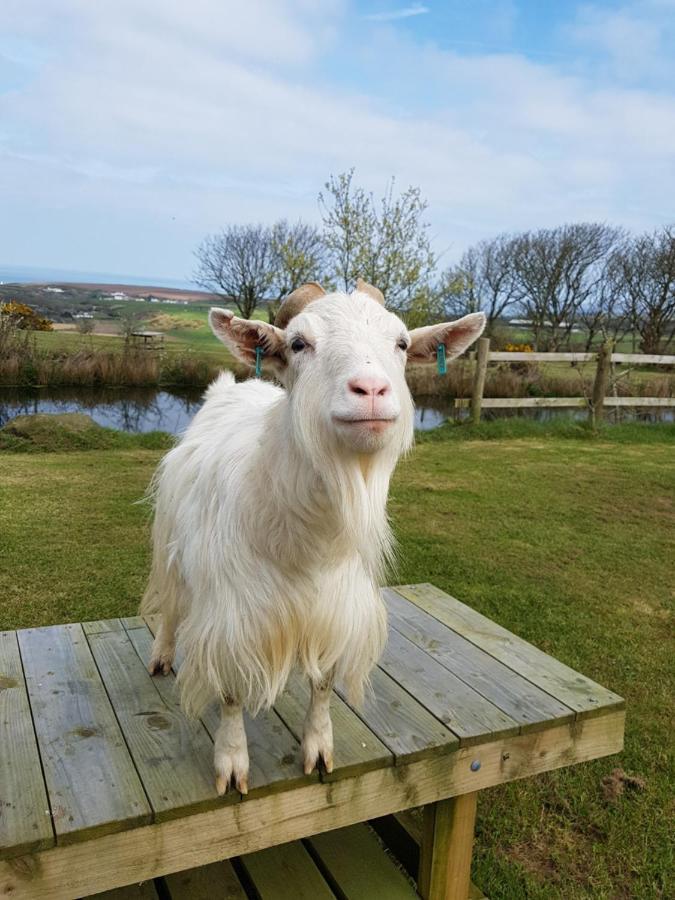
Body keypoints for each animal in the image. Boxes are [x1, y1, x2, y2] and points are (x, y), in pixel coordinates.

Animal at [141, 282, 486, 796]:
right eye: (299, 343)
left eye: (402, 343)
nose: (371, 391)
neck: (306, 544)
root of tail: (230, 388)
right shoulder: (233, 618)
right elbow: (230, 692)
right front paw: (232, 763)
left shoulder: (337, 611)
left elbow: (323, 683)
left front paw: (319, 749)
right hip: (171, 538)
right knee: (171, 601)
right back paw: (162, 656)